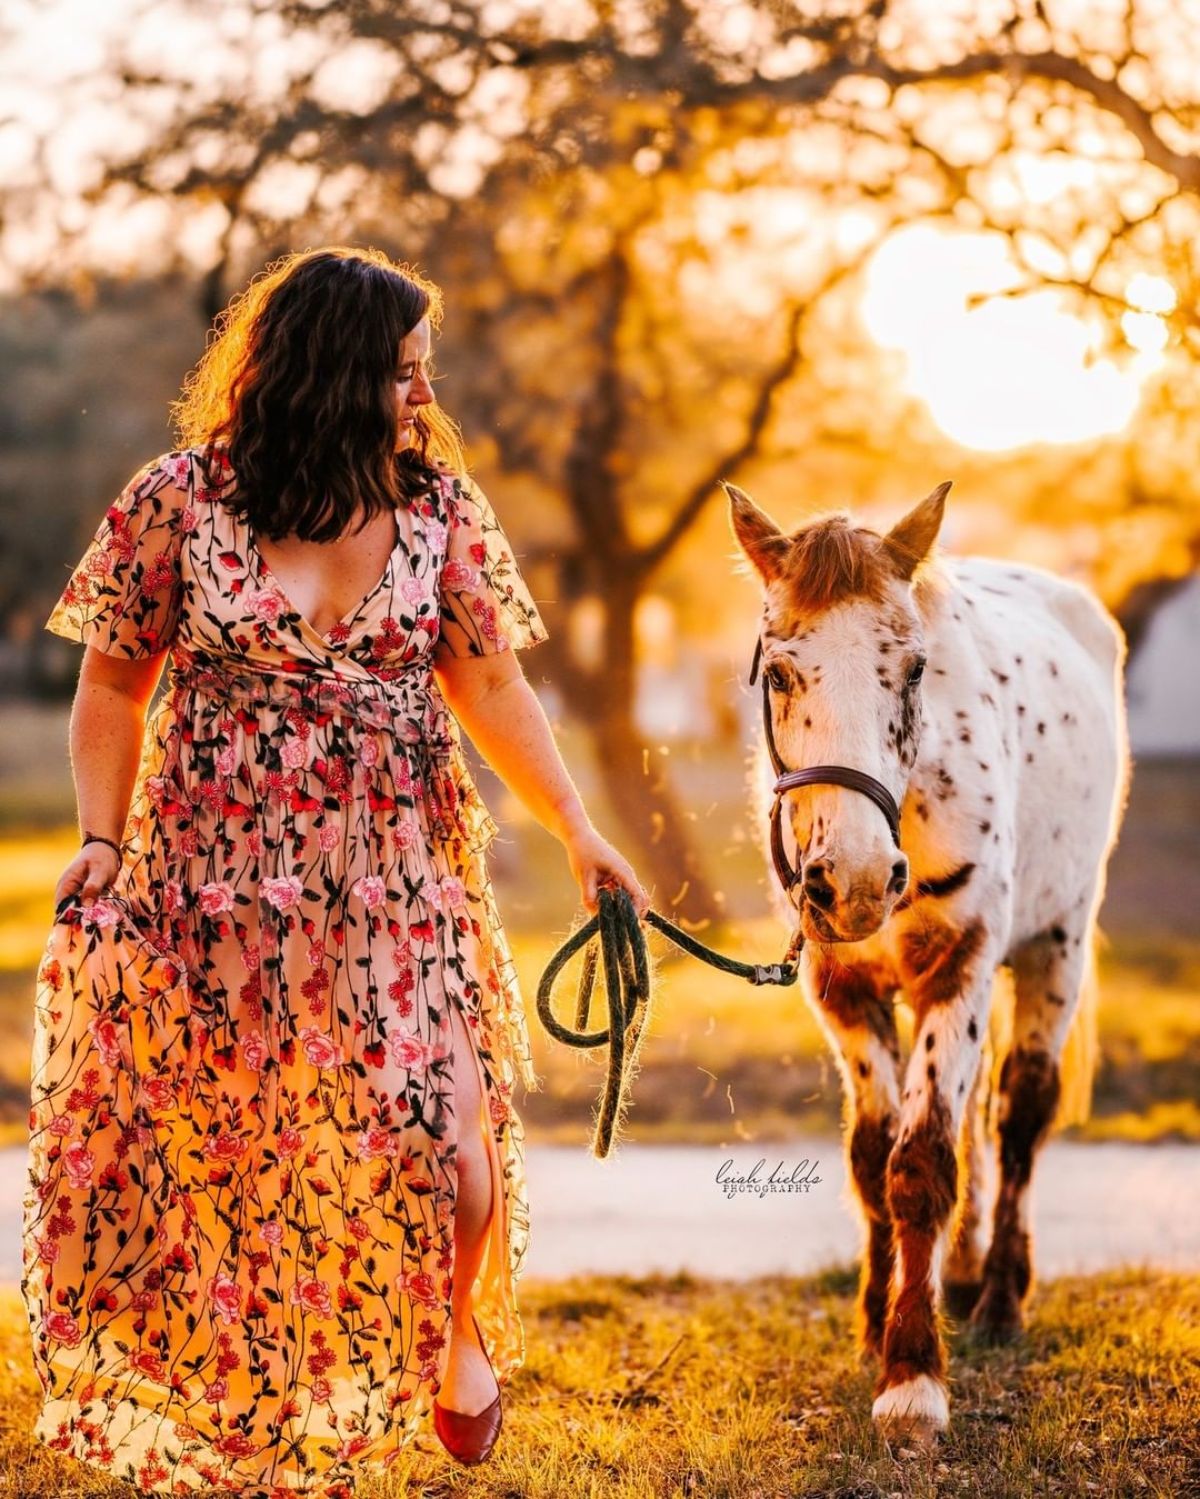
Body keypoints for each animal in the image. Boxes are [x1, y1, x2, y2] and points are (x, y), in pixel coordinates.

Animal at [725, 479, 1126, 1439]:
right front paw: (879, 1323)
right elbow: (875, 1158)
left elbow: (921, 1164)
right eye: (780, 671)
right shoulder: (841, 990)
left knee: (1017, 1116)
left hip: (1055, 949)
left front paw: (913, 1376)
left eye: (911, 670)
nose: (859, 880)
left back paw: (1001, 1297)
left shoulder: (960, 968)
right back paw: (968, 1271)